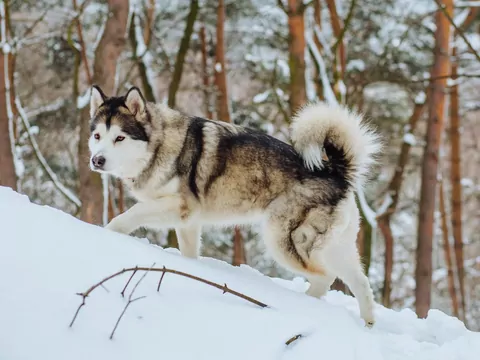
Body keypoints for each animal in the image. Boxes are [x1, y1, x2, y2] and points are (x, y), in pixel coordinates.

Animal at [88, 84, 382, 326]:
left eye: (120, 138)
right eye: (97, 136)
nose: (96, 160)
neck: (160, 146)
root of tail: (335, 173)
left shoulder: (179, 206)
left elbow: (128, 215)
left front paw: (106, 235)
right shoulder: (188, 222)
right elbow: (189, 254)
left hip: (281, 240)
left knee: (323, 277)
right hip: (335, 248)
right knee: (360, 283)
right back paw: (367, 324)